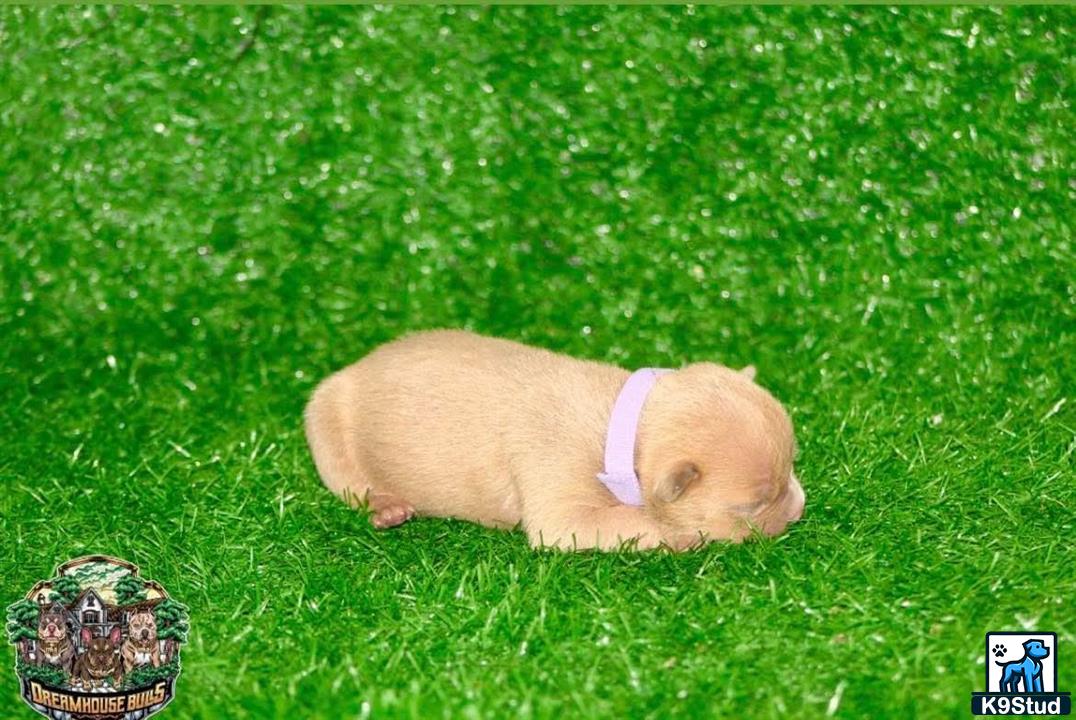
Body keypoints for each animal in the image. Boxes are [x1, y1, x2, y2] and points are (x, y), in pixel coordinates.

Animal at [307, 331, 804, 551]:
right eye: (754, 506)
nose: (800, 509)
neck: (621, 427)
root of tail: (356, 366)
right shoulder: (561, 500)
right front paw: (684, 537)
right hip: (324, 417)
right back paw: (387, 506)